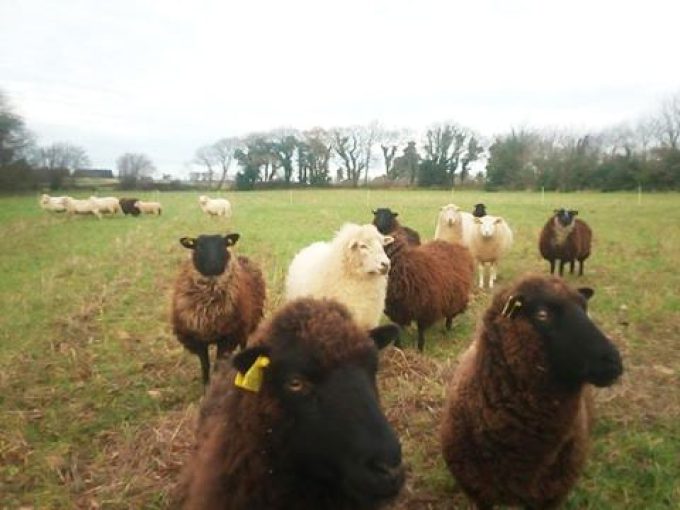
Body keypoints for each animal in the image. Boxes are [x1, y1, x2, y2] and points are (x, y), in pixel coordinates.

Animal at [171, 232, 265, 386]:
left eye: (224, 244)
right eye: (198, 246)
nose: (213, 265)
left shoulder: (227, 337)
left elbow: (216, 366)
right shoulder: (198, 340)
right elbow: (205, 366)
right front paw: (205, 386)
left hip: (245, 325)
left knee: (243, 344)